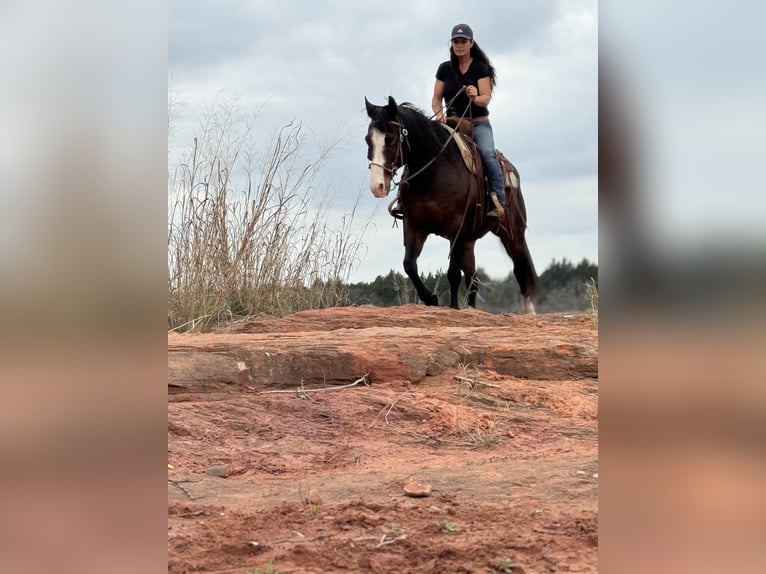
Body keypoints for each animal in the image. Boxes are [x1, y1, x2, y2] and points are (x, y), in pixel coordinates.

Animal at [366, 99, 540, 316]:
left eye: (390, 139)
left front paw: (454, 306)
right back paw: (472, 308)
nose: (377, 186)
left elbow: (453, 273)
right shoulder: (414, 227)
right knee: (473, 279)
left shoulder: (456, 230)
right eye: (368, 140)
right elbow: (410, 266)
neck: (433, 174)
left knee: (520, 266)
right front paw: (431, 298)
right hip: (469, 241)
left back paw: (529, 310)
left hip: (512, 233)